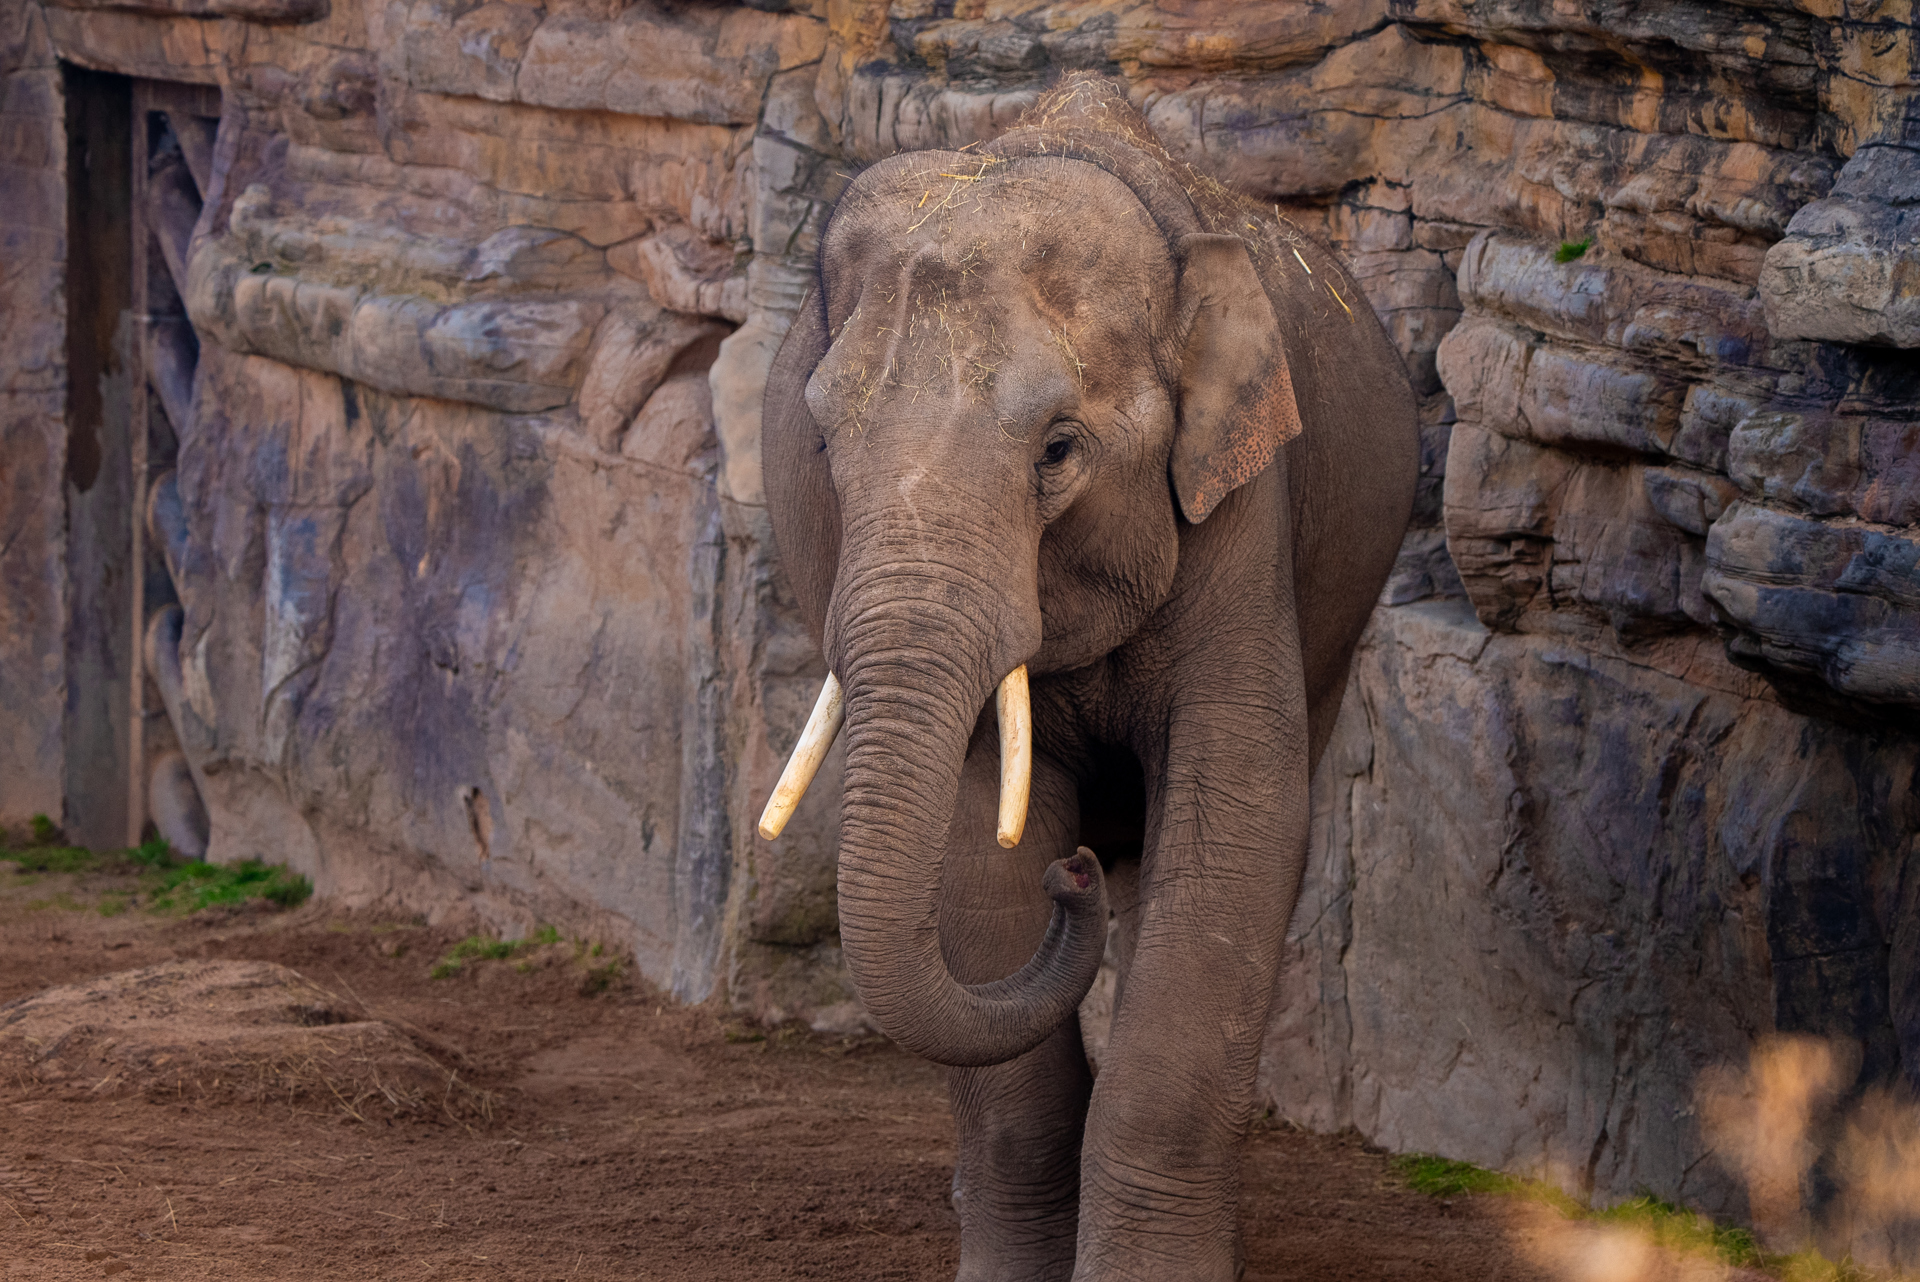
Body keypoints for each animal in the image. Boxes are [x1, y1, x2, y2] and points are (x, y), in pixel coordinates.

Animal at [755, 75, 1418, 1281]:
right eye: (822, 445)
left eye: (1059, 449)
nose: (1074, 875)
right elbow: (975, 851)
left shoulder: (1241, 507)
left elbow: (1237, 822)